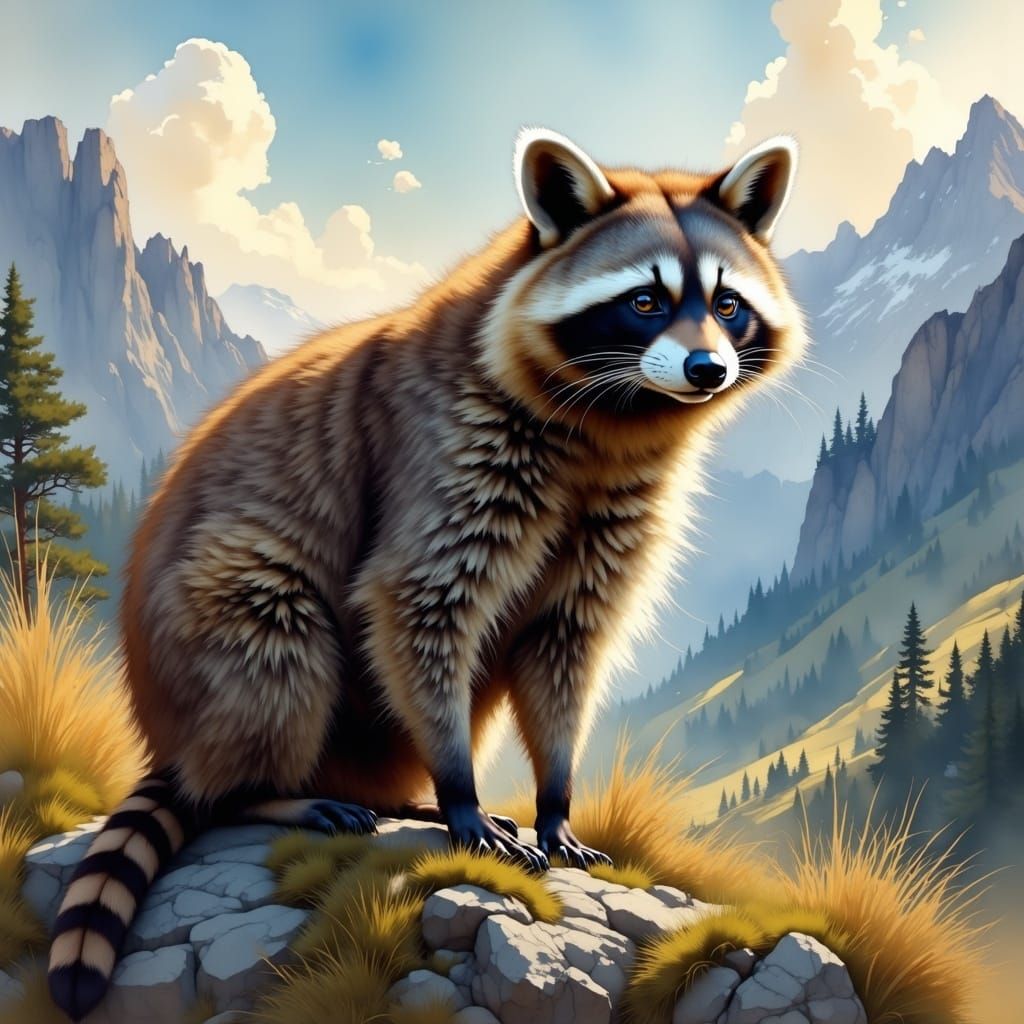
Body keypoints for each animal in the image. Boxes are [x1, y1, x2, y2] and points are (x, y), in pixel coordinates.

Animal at [48, 128, 804, 1020]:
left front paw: (554, 794)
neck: (617, 419)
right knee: (270, 646)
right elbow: (416, 602)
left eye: (728, 305)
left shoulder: (616, 513)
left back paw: (390, 793)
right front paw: (460, 789)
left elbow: (566, 644)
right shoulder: (443, 447)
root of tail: (166, 727)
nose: (706, 370)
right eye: (645, 301)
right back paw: (265, 789)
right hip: (217, 616)